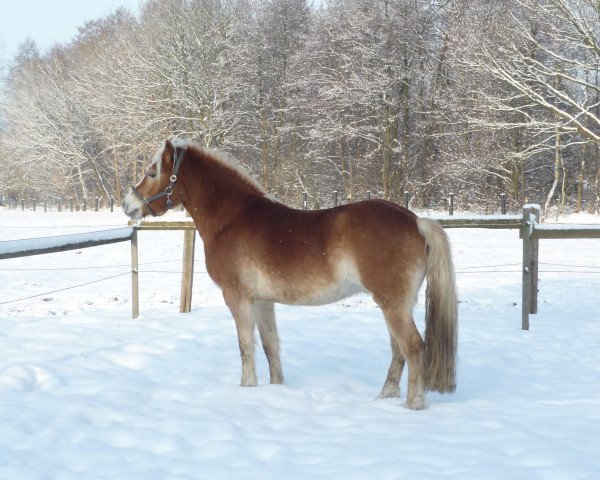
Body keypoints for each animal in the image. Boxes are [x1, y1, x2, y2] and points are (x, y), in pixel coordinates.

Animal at [123, 138, 460, 408]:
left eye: (152, 172)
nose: (128, 205)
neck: (232, 219)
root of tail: (416, 221)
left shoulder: (237, 297)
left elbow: (246, 346)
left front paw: (247, 387)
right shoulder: (262, 301)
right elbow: (270, 346)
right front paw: (276, 388)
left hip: (393, 304)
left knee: (413, 347)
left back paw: (413, 405)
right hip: (394, 304)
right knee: (398, 350)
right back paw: (384, 397)